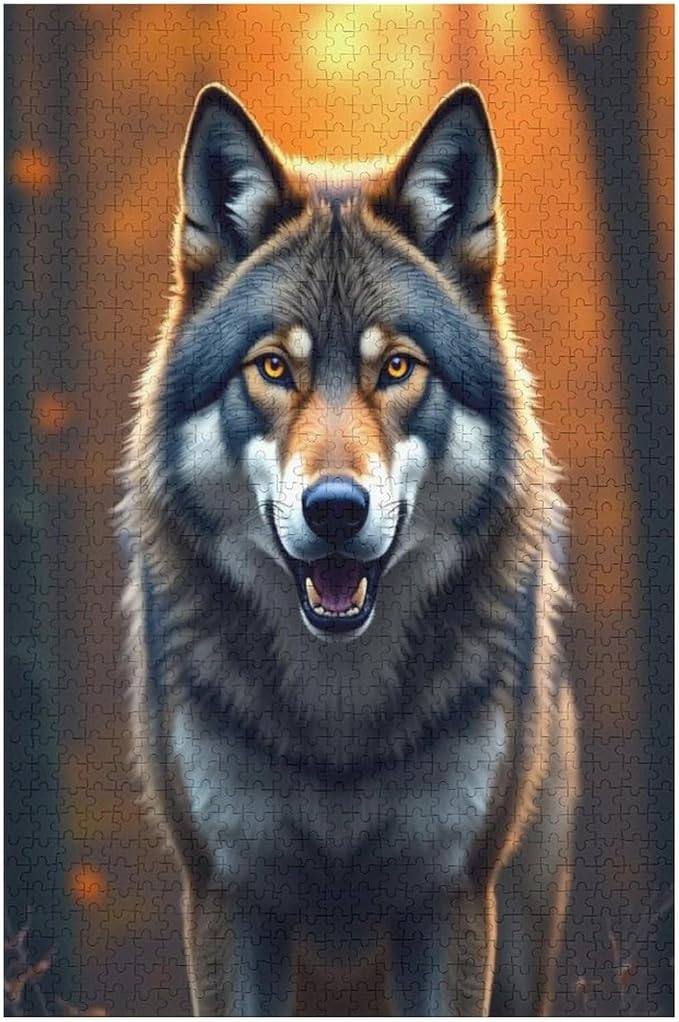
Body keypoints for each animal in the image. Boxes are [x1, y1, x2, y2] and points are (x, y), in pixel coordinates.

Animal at [119, 82, 577, 1016]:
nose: (335, 510)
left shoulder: (452, 897)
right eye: (273, 368)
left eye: (396, 368)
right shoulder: (226, 896)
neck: (340, 722)